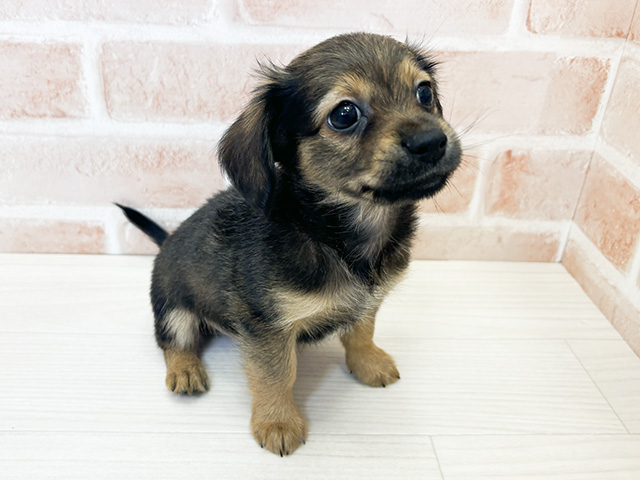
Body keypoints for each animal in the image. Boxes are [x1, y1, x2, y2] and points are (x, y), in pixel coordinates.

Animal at [119, 31, 460, 456]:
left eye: (424, 93)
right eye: (344, 115)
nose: (432, 141)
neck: (334, 234)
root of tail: (166, 242)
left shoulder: (368, 301)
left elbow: (362, 332)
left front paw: (368, 363)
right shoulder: (265, 327)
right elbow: (276, 375)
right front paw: (277, 422)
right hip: (172, 307)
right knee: (173, 341)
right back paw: (186, 371)